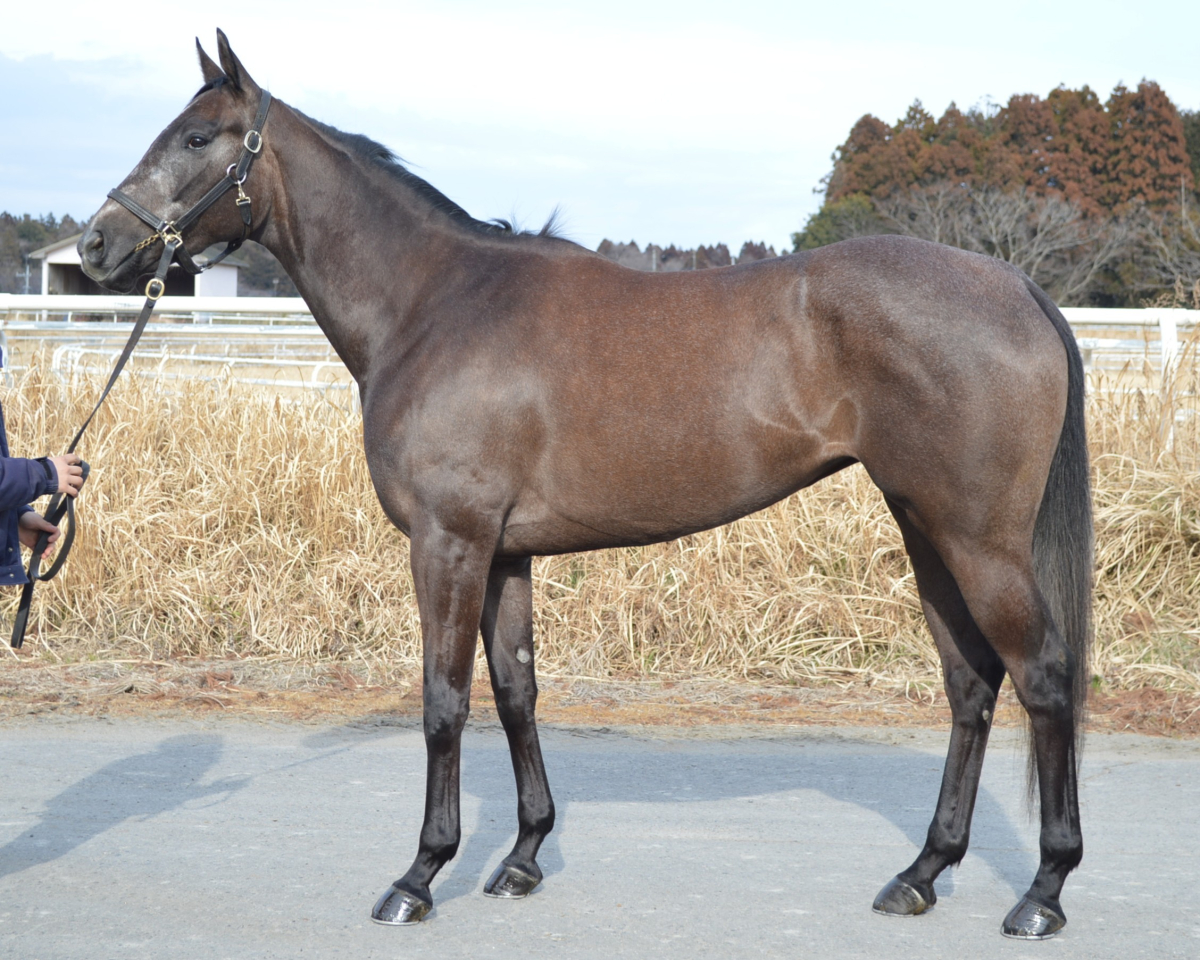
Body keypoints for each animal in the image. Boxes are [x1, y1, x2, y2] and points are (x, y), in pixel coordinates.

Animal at [77, 31, 1092, 941]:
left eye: (196, 138)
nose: (95, 245)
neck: (433, 304)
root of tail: (1016, 287)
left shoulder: (448, 543)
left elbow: (444, 701)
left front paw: (419, 876)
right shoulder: (503, 553)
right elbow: (516, 691)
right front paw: (522, 857)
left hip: (979, 540)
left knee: (1042, 678)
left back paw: (1043, 893)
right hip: (926, 527)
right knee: (970, 684)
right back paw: (921, 874)